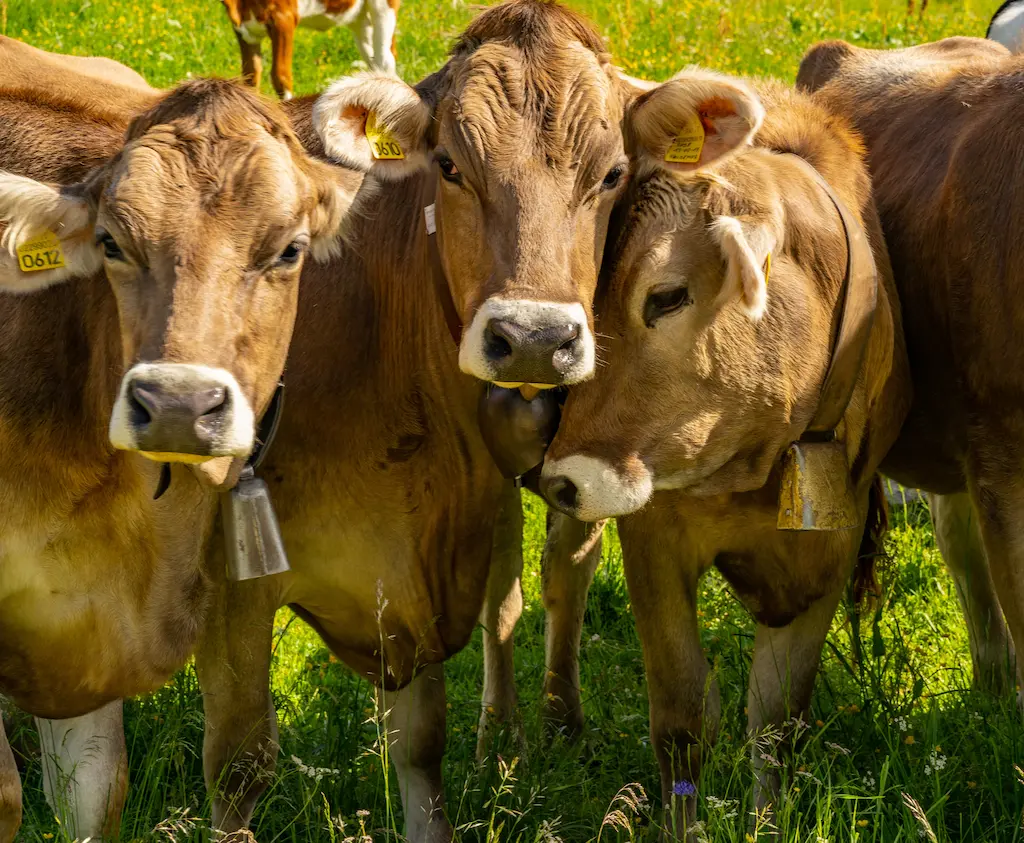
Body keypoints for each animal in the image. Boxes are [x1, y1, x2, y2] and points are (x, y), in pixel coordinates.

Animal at [222, 0, 401, 100]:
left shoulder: (283, 18)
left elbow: (281, 76)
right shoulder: (242, 30)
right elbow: (250, 76)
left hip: (382, 7)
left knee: (385, 60)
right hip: (359, 18)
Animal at [538, 76, 911, 832]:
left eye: (667, 295)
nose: (566, 478)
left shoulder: (835, 543)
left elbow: (777, 719)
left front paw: (768, 821)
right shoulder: (654, 533)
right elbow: (683, 715)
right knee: (562, 568)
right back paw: (550, 720)